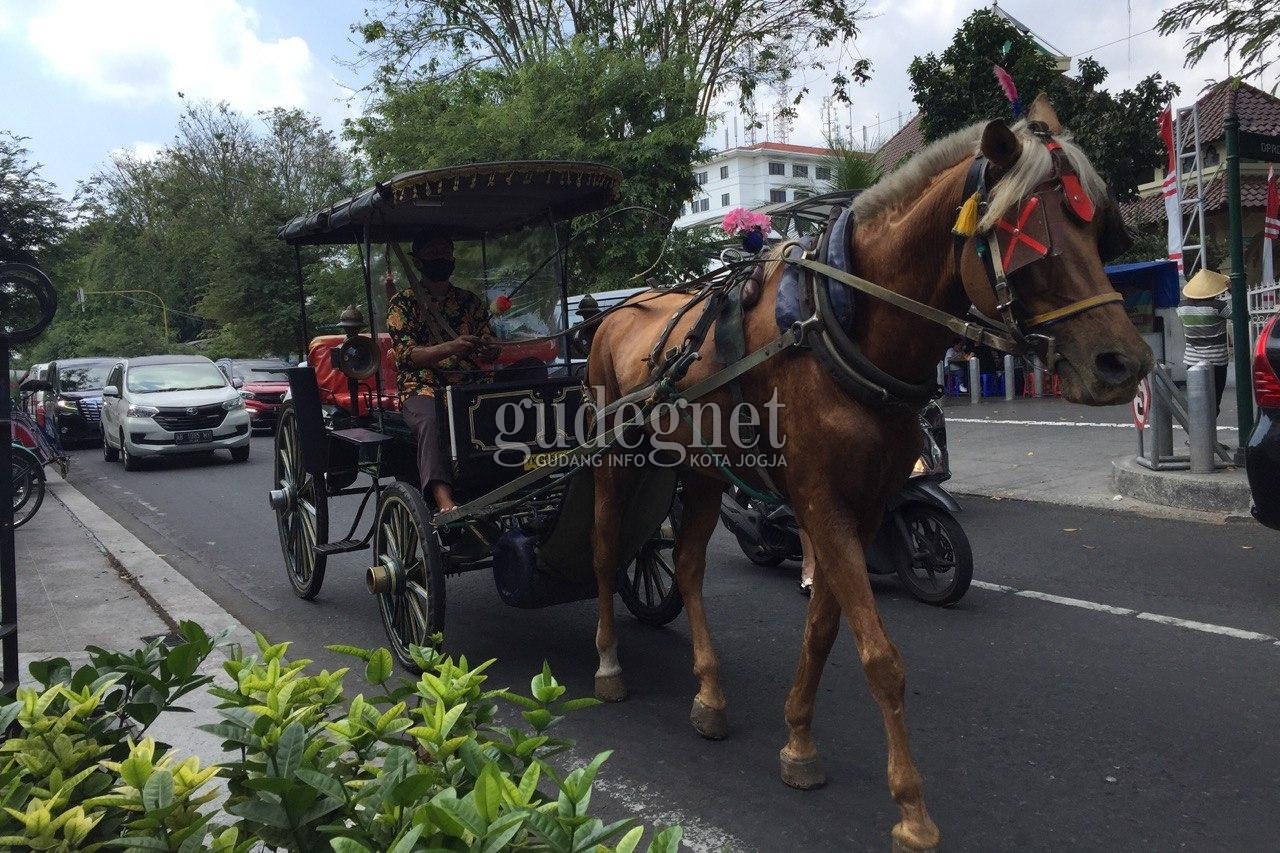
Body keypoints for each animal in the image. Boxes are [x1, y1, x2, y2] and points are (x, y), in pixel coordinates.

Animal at [586, 96, 1146, 845]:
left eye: (1097, 229)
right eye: (1032, 239)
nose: (1124, 363)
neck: (839, 324)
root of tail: (616, 310)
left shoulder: (866, 501)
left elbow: (825, 629)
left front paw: (798, 741)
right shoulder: (820, 499)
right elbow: (879, 655)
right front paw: (911, 810)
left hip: (701, 468)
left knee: (690, 565)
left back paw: (708, 692)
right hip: (615, 460)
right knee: (605, 549)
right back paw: (608, 664)